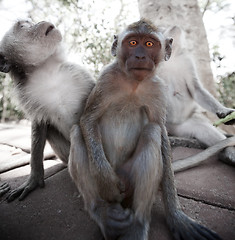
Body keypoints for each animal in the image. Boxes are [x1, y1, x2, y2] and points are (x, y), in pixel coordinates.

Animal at [0, 20, 95, 201]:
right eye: (23, 26)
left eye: (29, 22)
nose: (39, 22)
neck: (47, 71)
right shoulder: (28, 94)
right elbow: (40, 124)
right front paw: (35, 178)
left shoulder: (79, 74)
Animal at [68, 19, 222, 240]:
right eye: (132, 42)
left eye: (149, 44)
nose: (140, 56)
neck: (133, 83)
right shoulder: (105, 79)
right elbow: (87, 120)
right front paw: (106, 182)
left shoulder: (157, 89)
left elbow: (161, 133)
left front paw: (176, 216)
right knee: (77, 133)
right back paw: (102, 213)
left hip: (130, 176)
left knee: (151, 133)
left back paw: (138, 224)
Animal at [156, 25, 235, 166]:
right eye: (161, 28)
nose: (174, 26)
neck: (172, 57)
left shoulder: (187, 62)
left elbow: (196, 89)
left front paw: (224, 111)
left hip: (183, 125)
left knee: (203, 128)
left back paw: (228, 154)